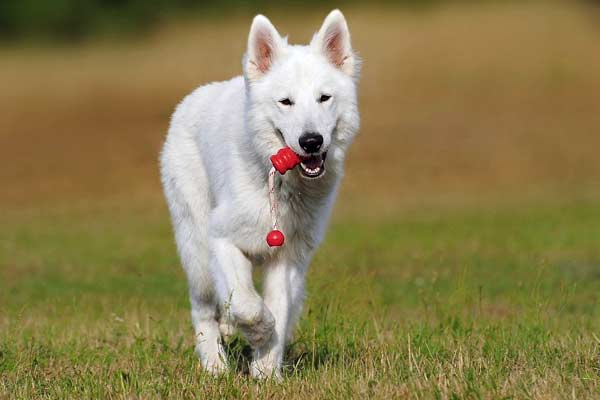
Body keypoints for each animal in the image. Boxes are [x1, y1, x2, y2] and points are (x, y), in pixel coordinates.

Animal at [157, 9, 358, 378]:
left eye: (324, 98)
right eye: (286, 102)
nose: (311, 141)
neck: (279, 183)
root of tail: (192, 98)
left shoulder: (288, 258)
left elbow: (277, 307)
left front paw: (266, 372)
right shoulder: (221, 239)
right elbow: (248, 304)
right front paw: (259, 331)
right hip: (197, 250)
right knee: (203, 309)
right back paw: (215, 366)